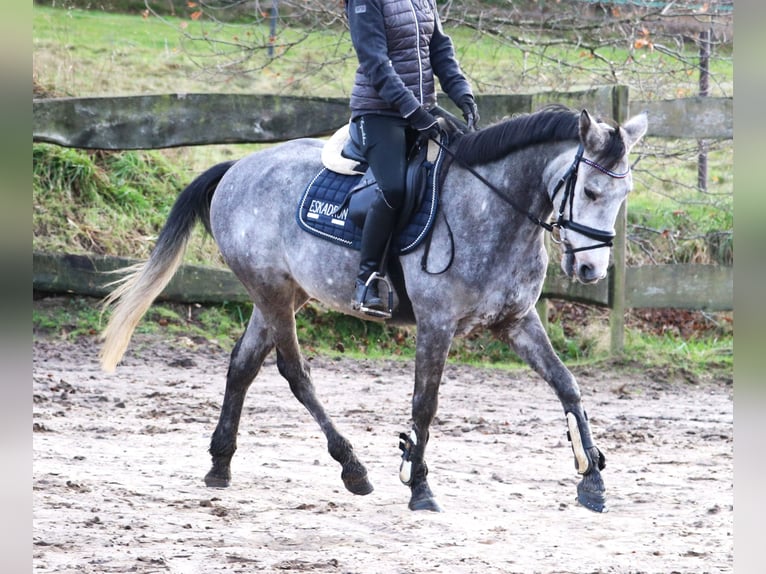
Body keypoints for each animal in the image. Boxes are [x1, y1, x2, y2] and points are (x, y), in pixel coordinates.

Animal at [100, 106, 648, 516]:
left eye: (625, 194)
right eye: (591, 191)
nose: (592, 270)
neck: (493, 209)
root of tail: (236, 168)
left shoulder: (516, 322)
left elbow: (567, 386)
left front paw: (592, 479)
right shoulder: (436, 324)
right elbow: (424, 404)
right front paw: (418, 485)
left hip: (282, 294)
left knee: (243, 364)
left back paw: (220, 465)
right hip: (272, 292)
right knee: (294, 372)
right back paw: (352, 468)